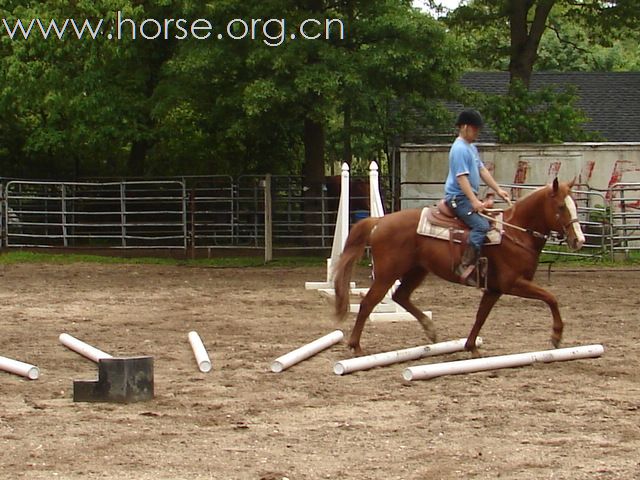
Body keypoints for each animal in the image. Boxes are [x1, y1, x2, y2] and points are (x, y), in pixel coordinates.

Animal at [336, 179, 584, 356]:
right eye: (561, 206)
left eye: (575, 205)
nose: (579, 240)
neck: (515, 233)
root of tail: (380, 221)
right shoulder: (513, 283)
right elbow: (551, 298)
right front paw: (556, 336)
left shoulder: (494, 289)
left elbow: (481, 316)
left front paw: (471, 346)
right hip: (387, 274)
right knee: (368, 303)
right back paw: (356, 346)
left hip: (417, 270)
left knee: (401, 296)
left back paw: (430, 329)